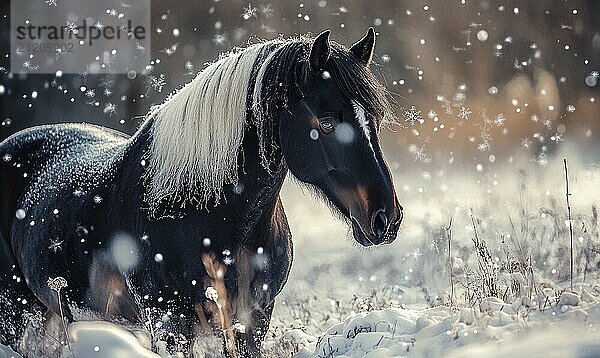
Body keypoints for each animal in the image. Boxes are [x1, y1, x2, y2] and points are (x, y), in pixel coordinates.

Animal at [2, 29, 404, 356]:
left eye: (375, 119)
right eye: (327, 122)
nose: (386, 219)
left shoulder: (252, 320)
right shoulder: (168, 323)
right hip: (15, 313)